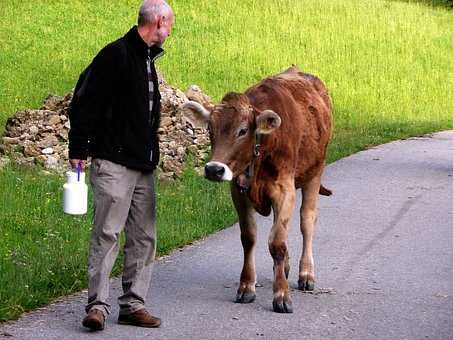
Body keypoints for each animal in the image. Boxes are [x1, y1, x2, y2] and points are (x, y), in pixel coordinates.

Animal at [181, 65, 332, 312]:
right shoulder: (238, 190)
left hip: (315, 171)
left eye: (243, 131)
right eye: (210, 130)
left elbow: (277, 242)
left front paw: (281, 295)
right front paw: (246, 287)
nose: (214, 169)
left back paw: (306, 273)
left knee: (307, 221)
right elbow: (249, 238)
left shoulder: (284, 189)